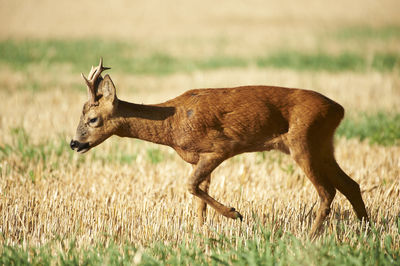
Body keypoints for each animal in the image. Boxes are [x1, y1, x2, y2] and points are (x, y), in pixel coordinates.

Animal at [69, 58, 368, 235]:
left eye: (93, 119)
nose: (74, 143)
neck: (172, 123)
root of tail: (338, 109)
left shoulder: (219, 148)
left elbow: (191, 186)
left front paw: (235, 214)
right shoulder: (199, 158)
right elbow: (200, 194)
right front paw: (200, 231)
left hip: (303, 142)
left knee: (327, 192)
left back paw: (311, 236)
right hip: (323, 145)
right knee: (351, 185)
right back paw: (367, 228)